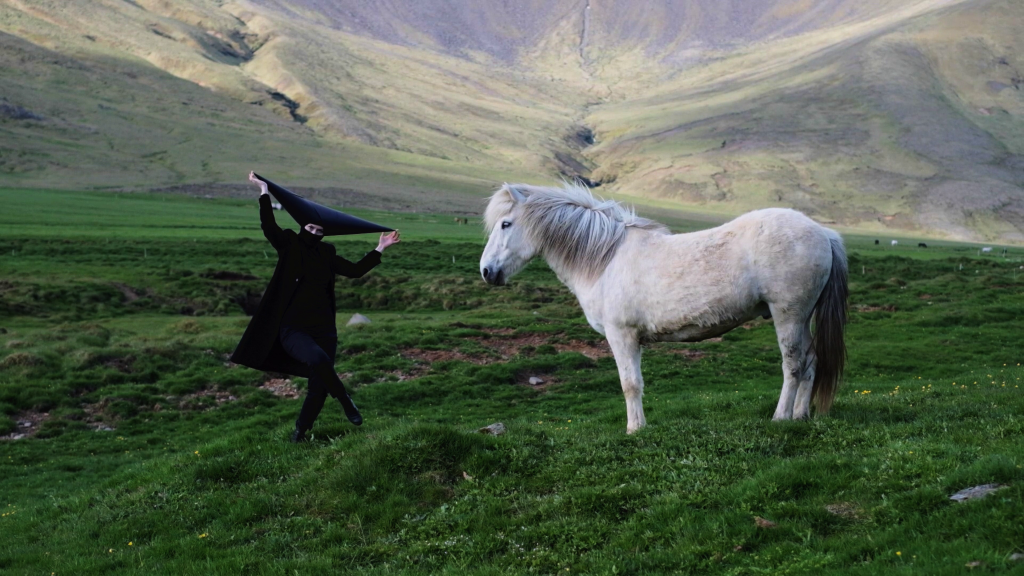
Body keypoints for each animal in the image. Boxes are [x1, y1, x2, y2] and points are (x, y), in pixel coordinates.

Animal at [479, 182, 847, 430]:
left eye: (506, 224)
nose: (487, 271)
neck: (605, 260)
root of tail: (822, 232)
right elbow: (636, 383)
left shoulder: (621, 336)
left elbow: (630, 384)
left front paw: (635, 429)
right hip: (803, 317)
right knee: (811, 362)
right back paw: (801, 415)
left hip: (788, 315)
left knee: (793, 365)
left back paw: (781, 417)